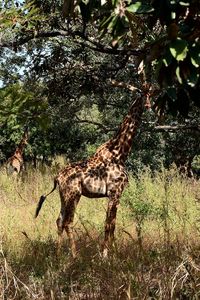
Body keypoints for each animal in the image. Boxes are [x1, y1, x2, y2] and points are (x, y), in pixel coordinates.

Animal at [35, 92, 148, 258]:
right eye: (148, 93)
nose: (148, 105)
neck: (120, 153)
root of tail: (57, 177)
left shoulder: (115, 195)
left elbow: (112, 225)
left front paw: (113, 252)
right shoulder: (115, 193)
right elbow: (108, 224)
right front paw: (106, 255)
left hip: (64, 196)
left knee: (59, 221)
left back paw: (58, 254)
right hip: (73, 195)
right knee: (68, 221)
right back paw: (75, 256)